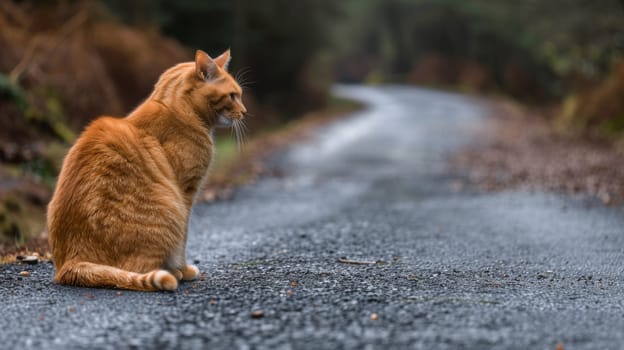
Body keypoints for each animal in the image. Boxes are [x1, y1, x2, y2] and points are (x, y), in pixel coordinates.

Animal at [47, 48, 247, 290]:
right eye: (233, 96)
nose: (245, 112)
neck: (180, 109)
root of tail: (68, 264)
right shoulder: (186, 194)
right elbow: (183, 240)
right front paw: (183, 269)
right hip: (170, 207)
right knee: (139, 268)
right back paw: (172, 272)